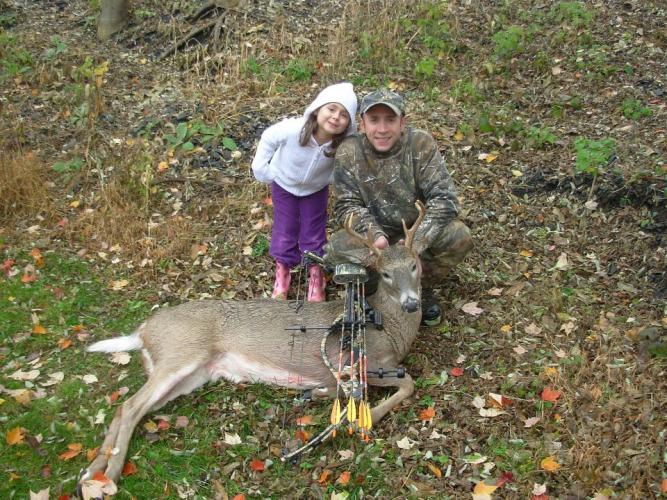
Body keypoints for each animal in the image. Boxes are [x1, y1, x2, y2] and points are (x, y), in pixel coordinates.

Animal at [79, 202, 426, 487]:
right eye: (385, 274)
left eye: (414, 265)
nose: (411, 303)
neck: (390, 328)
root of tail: (143, 330)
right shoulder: (371, 364)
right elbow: (407, 383)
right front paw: (368, 417)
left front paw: (318, 394)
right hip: (179, 355)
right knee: (130, 406)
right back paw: (109, 476)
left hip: (194, 375)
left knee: (131, 409)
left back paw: (91, 474)